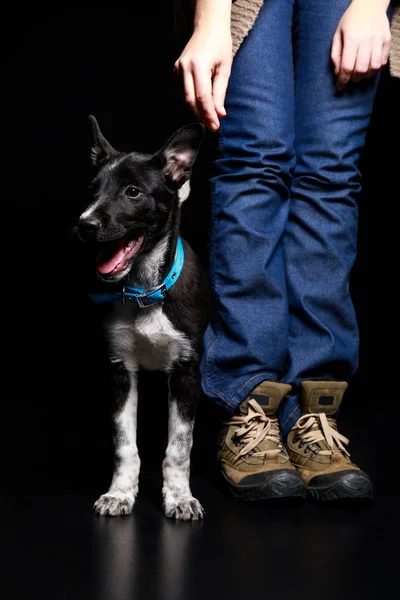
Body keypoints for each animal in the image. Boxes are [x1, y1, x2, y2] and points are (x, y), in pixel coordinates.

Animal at [76, 117, 206, 520]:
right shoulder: (120, 372)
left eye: (133, 192)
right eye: (92, 190)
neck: (143, 292)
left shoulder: (186, 372)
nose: (84, 224)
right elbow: (124, 444)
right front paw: (119, 493)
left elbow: (180, 446)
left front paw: (180, 497)